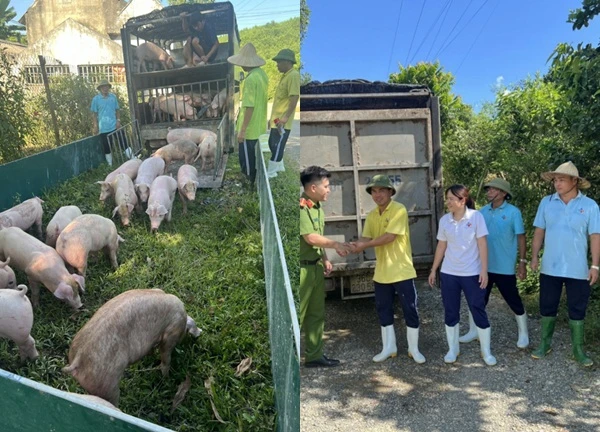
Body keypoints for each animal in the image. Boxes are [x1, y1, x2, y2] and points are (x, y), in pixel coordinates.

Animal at [62, 288, 202, 406]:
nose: (198, 335)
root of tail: (77, 359)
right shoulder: (171, 334)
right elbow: (166, 357)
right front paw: (166, 378)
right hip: (107, 384)